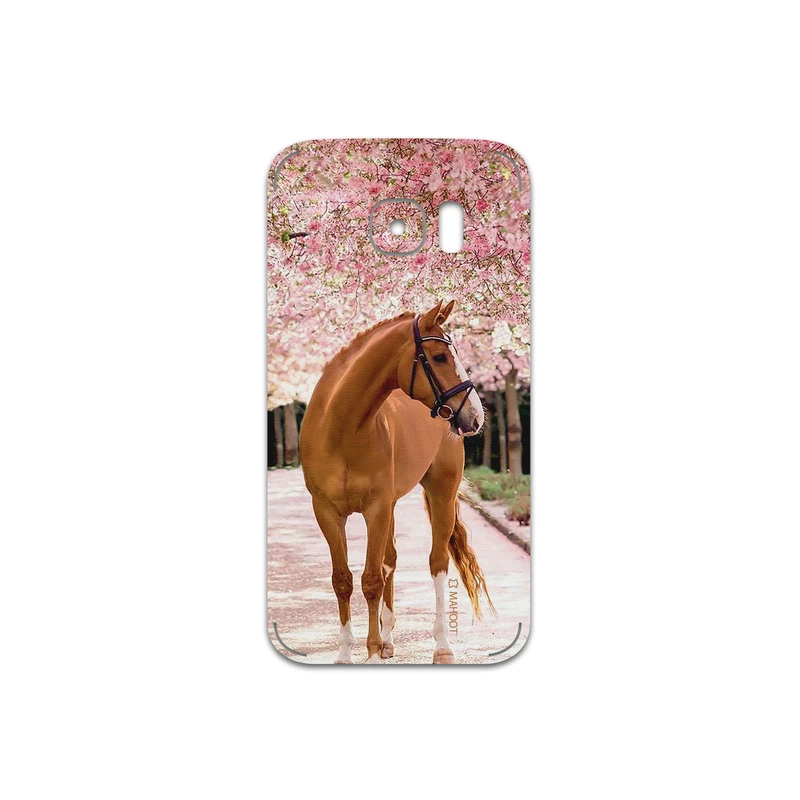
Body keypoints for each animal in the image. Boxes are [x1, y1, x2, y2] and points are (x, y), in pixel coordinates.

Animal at [299, 300, 492, 664]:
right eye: (440, 357)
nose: (475, 416)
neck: (342, 429)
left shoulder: (375, 508)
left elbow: (371, 579)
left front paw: (372, 652)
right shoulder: (327, 512)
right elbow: (343, 579)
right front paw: (346, 653)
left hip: (440, 494)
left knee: (437, 563)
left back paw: (441, 647)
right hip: (390, 505)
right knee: (390, 560)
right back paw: (388, 640)